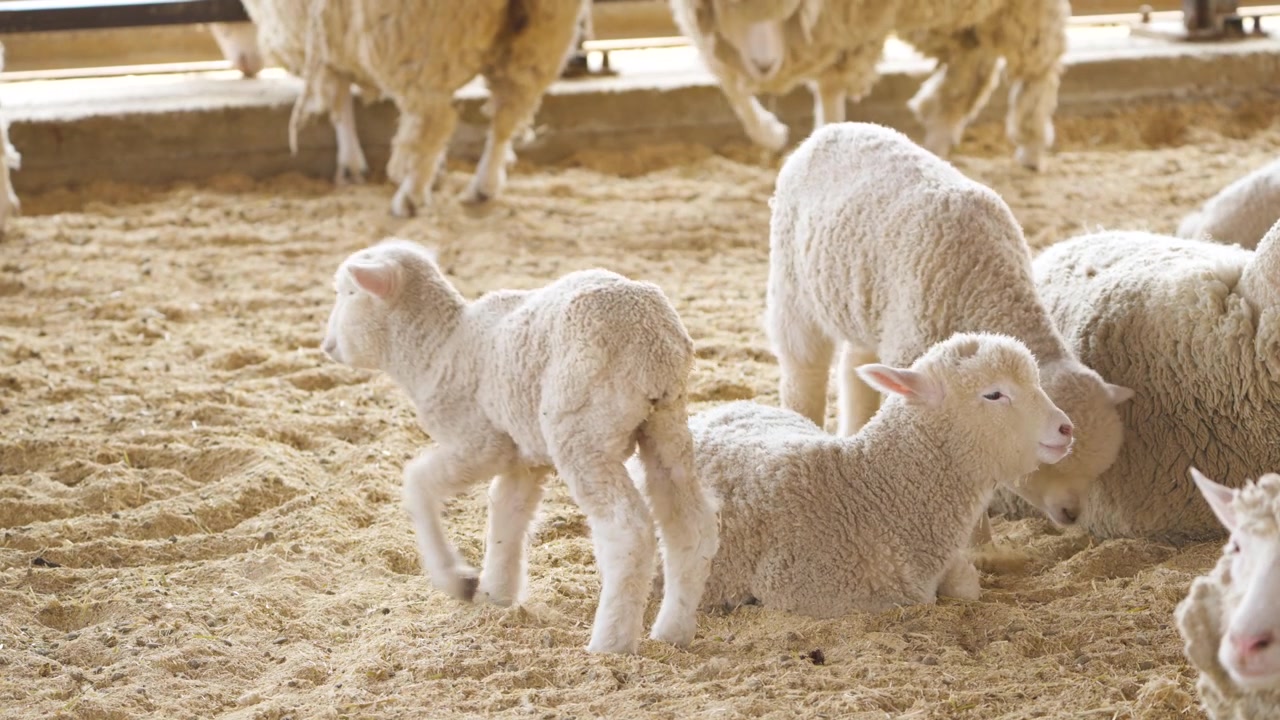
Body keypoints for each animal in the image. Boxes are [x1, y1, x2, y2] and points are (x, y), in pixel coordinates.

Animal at [238, 0, 587, 215]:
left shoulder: (323, 45)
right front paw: (438, 169)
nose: (248, 63)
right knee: (508, 113)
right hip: (540, 38)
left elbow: (338, 102)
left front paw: (351, 166)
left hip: (416, 39)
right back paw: (482, 186)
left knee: (434, 118)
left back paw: (410, 197)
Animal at [319, 238, 719, 654]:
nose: (327, 345)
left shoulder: (481, 442)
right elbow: (506, 514)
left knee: (627, 530)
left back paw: (610, 643)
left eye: (348, 293)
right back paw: (673, 631)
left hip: (580, 431)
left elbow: (418, 481)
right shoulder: (522, 455)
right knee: (691, 523)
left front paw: (456, 579)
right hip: (666, 424)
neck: (438, 347)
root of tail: (651, 345)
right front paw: (496, 592)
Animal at [668, 0, 1069, 169]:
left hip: (1024, 10)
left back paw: (1032, 147)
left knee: (1038, 64)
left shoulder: (843, 26)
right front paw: (769, 133)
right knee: (971, 62)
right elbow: (730, 84)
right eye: (731, 9)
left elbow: (830, 87)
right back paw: (938, 139)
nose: (765, 65)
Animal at [766, 122, 1132, 540]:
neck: (989, 279)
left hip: (867, 308)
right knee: (803, 366)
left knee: (855, 364)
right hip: (793, 285)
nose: (1072, 515)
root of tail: (836, 129)